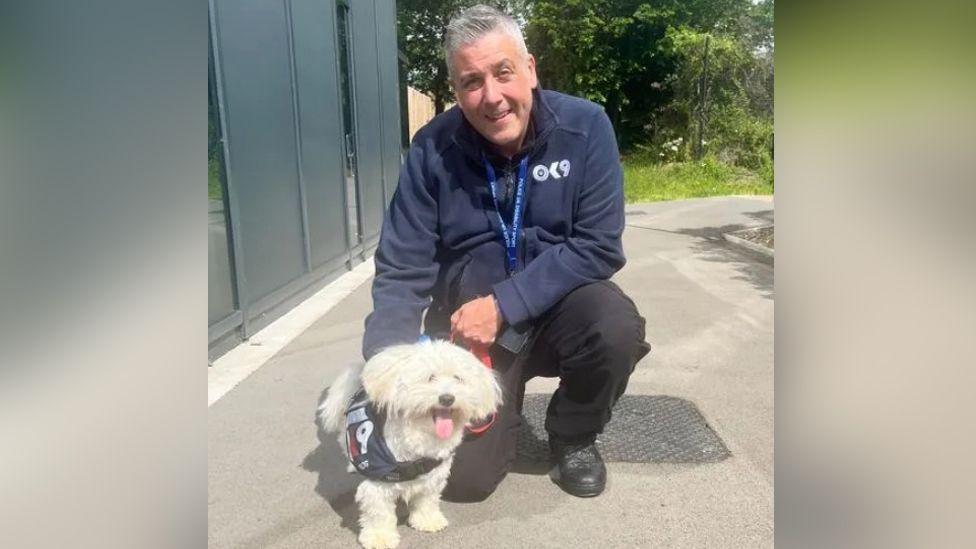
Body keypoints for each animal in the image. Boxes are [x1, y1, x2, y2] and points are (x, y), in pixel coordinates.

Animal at [320, 340, 504, 544]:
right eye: (430, 377)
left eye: (458, 378)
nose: (447, 398)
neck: (420, 435)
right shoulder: (378, 484)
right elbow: (379, 513)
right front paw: (379, 537)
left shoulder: (433, 476)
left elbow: (427, 500)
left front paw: (427, 521)